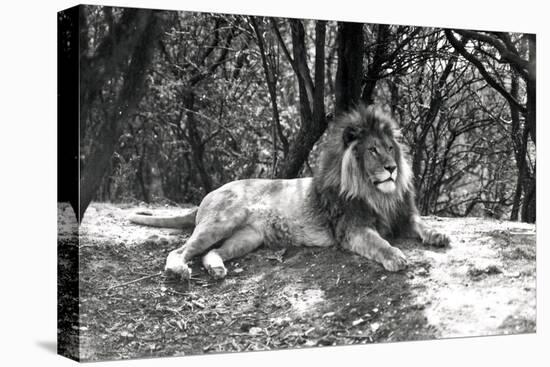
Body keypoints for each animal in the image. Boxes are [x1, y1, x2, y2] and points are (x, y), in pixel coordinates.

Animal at [132, 105, 450, 280]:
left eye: (390, 148)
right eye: (372, 150)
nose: (392, 168)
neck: (379, 194)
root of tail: (210, 194)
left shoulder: (403, 215)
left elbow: (422, 224)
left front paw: (438, 235)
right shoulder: (352, 229)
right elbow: (379, 243)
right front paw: (395, 256)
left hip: (248, 237)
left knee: (210, 253)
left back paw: (216, 269)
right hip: (223, 220)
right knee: (180, 251)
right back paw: (178, 270)